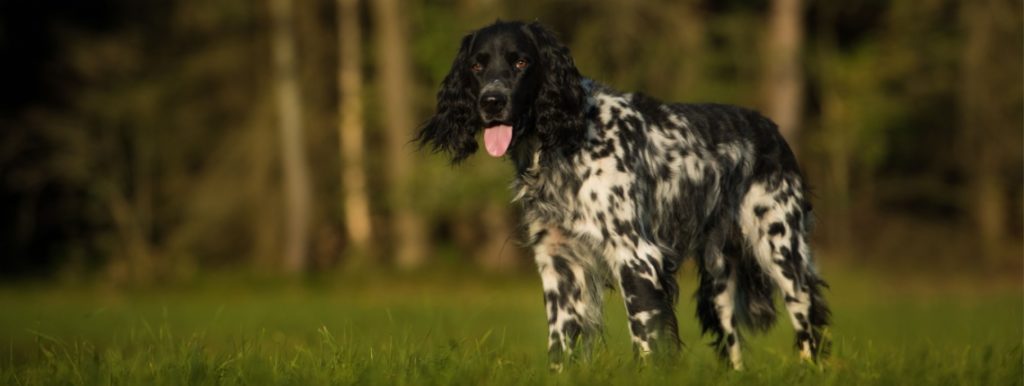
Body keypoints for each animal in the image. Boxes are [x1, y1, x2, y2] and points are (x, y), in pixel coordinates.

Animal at [415, 19, 831, 368]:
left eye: (520, 62)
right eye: (477, 66)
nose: (491, 101)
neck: (567, 140)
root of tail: (772, 129)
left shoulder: (636, 255)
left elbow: (646, 335)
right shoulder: (557, 261)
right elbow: (560, 341)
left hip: (782, 252)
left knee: (808, 322)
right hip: (719, 276)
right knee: (733, 343)